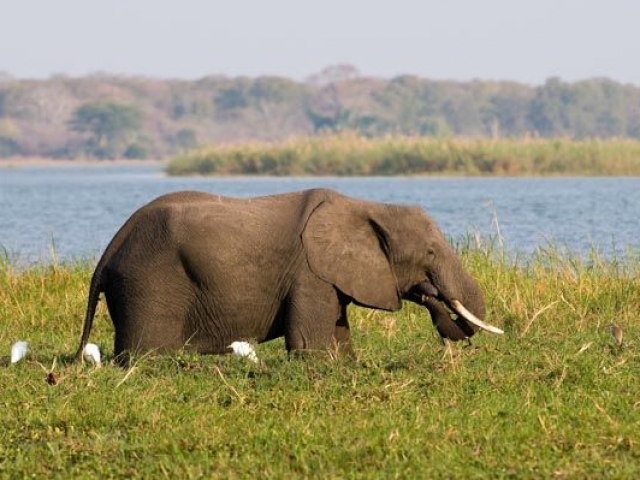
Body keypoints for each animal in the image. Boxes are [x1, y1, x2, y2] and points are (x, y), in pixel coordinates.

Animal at [75, 188, 502, 364]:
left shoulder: (327, 278)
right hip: (148, 282)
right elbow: (310, 345)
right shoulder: (309, 274)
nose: (429, 291)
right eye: (429, 252)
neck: (367, 205)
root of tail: (109, 250)